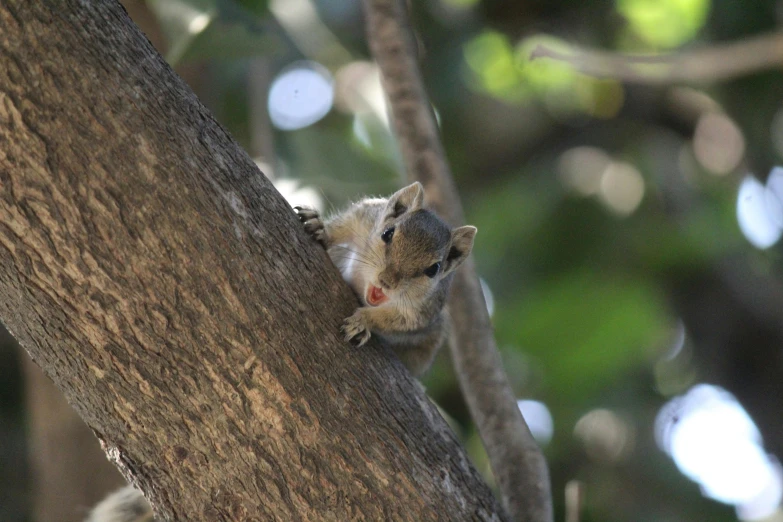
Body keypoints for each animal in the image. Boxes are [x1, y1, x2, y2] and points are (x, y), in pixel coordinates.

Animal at [296, 181, 474, 376]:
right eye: (387, 233)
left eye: (433, 269)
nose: (386, 281)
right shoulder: (364, 217)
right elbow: (344, 225)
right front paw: (321, 229)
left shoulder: (421, 311)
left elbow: (394, 321)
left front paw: (362, 322)